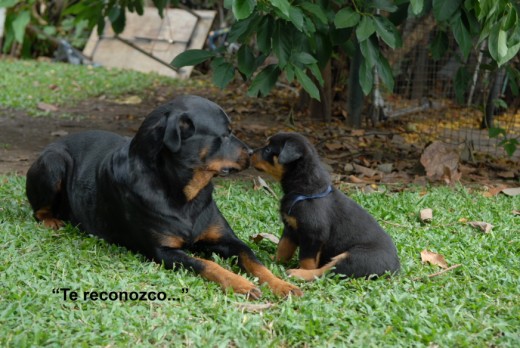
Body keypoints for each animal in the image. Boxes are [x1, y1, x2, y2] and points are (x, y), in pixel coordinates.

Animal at [26, 96, 302, 300]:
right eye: (224, 135)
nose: (252, 152)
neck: (184, 193)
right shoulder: (163, 251)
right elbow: (207, 264)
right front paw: (241, 284)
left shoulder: (227, 239)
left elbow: (253, 258)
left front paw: (280, 284)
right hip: (53, 163)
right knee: (38, 209)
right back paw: (51, 220)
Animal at [252, 132, 402, 282]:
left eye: (268, 150)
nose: (249, 152)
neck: (304, 189)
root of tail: (395, 270)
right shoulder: (291, 227)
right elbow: (283, 248)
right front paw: (272, 261)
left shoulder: (313, 233)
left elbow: (307, 260)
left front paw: (302, 269)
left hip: (355, 257)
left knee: (327, 271)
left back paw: (298, 274)